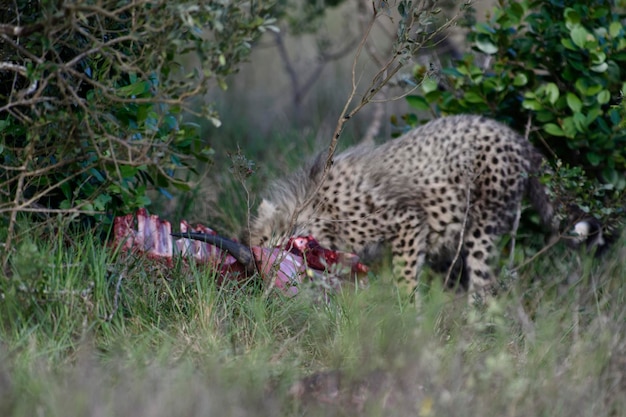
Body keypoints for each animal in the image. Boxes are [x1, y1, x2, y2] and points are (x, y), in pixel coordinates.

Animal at [241, 114, 552, 296]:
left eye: (266, 244)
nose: (258, 265)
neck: (315, 208)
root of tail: (514, 136)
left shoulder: (407, 222)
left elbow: (405, 276)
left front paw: (409, 318)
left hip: (482, 228)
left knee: (483, 285)